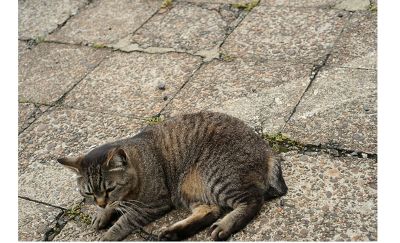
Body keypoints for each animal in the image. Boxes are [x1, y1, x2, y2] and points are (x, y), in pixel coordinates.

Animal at [57, 111, 288, 240]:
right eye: (88, 193)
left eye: (110, 188)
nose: (101, 203)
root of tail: (267, 150)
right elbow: (116, 207)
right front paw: (102, 212)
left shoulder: (152, 205)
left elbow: (124, 221)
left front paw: (108, 233)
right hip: (188, 187)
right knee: (210, 210)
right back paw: (173, 232)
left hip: (218, 178)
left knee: (252, 200)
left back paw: (225, 225)